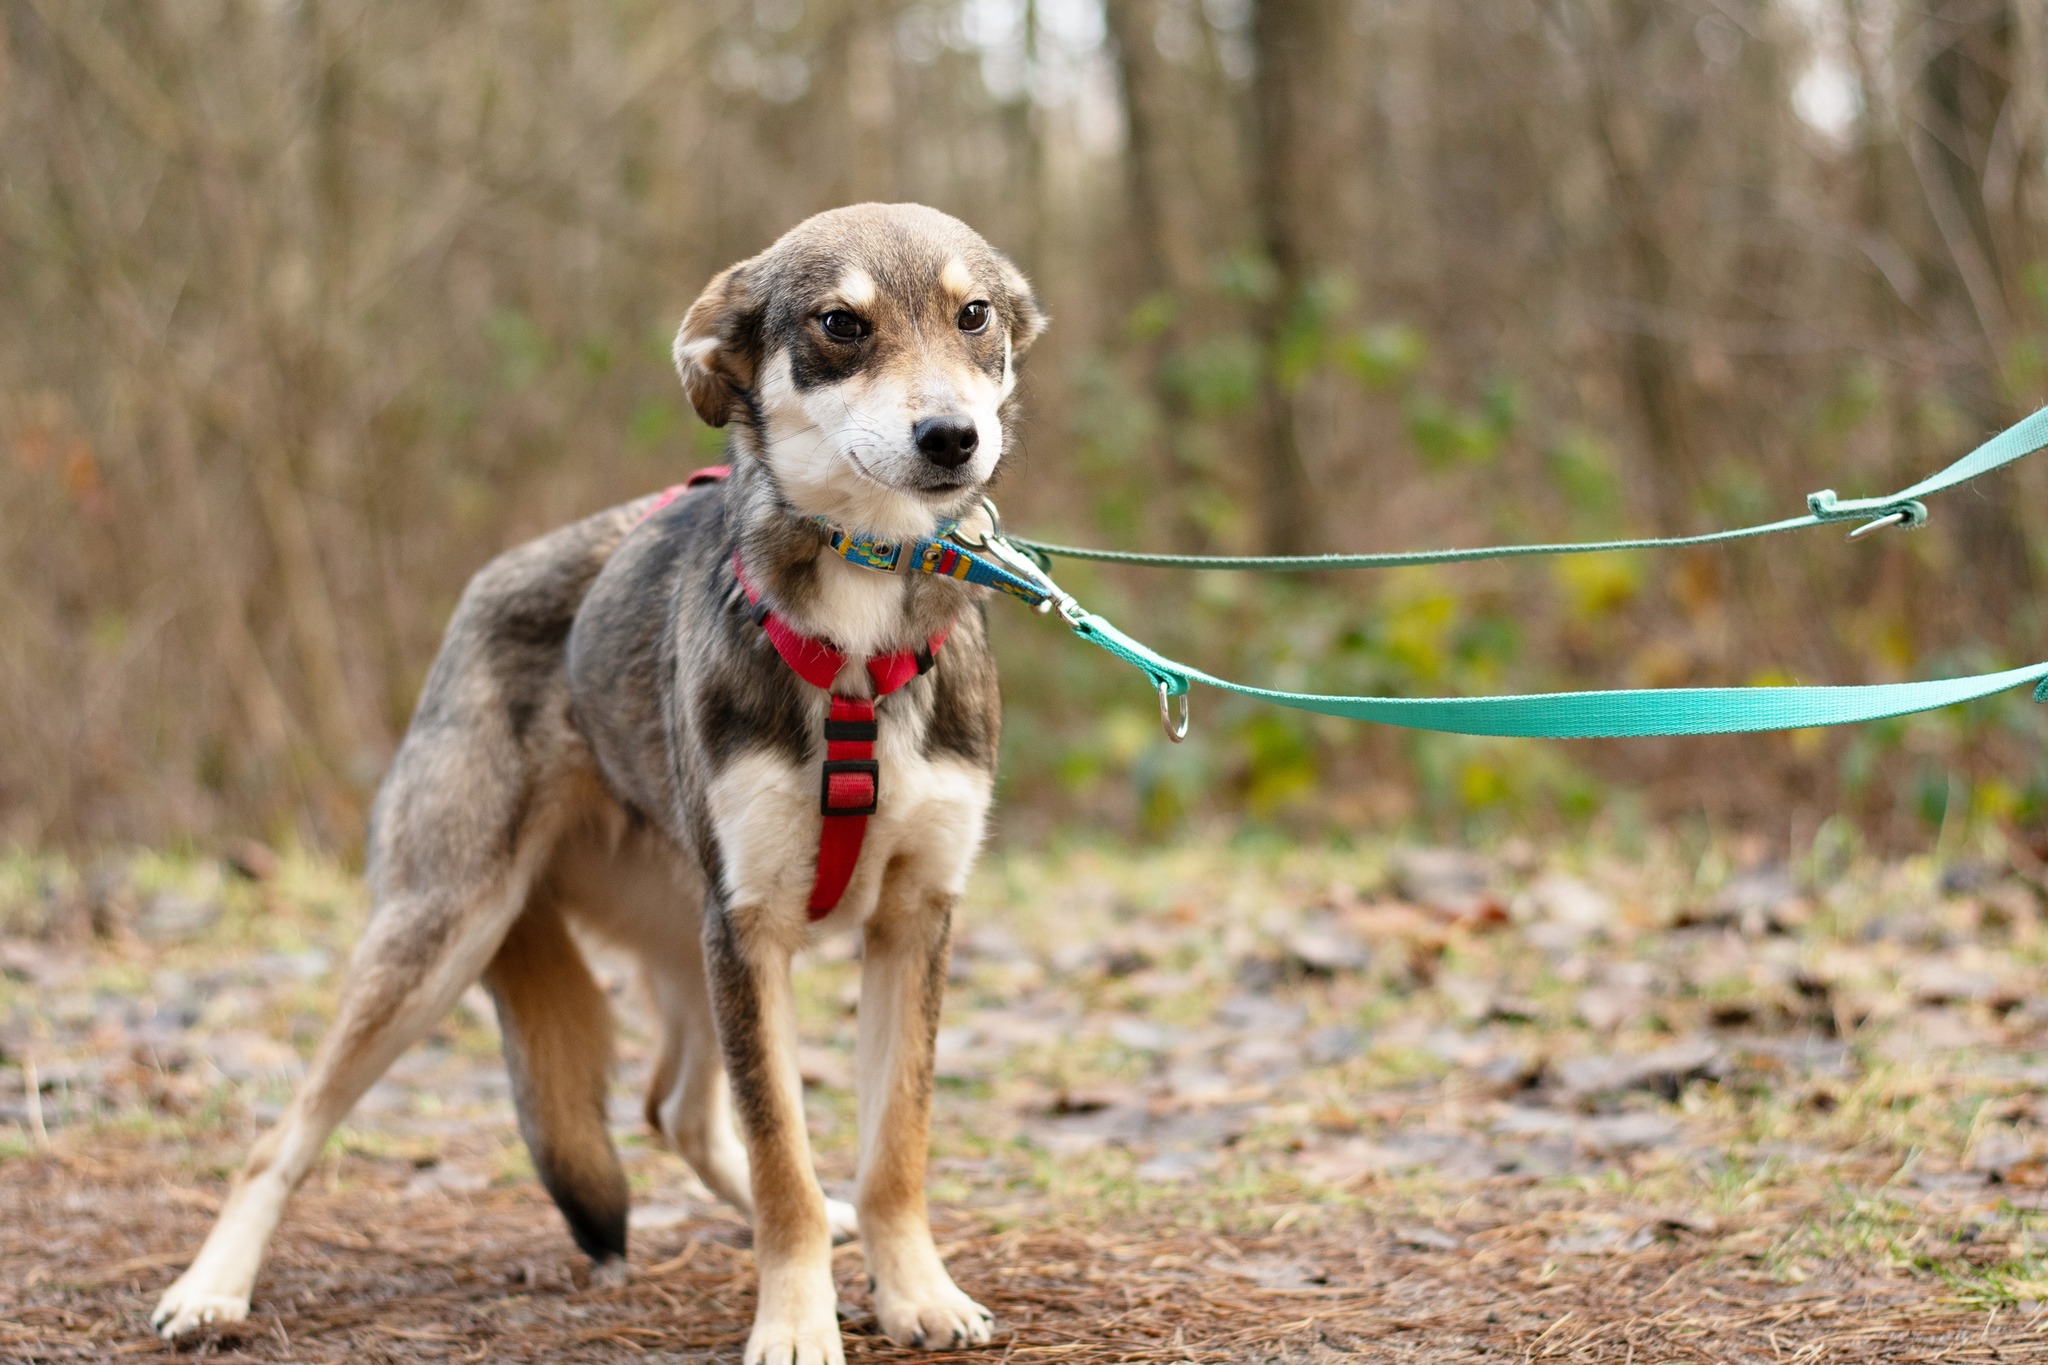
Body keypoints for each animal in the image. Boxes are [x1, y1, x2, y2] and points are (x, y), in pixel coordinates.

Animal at [153, 205, 1048, 1365]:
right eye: (841, 324)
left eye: (972, 314)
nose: (951, 438)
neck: (859, 625)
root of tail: (482, 594)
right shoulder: (751, 927)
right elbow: (782, 1159)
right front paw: (795, 1322)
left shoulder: (910, 920)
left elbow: (890, 1146)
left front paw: (917, 1293)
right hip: (448, 934)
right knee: (288, 1130)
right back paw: (210, 1290)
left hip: (683, 939)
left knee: (677, 1109)